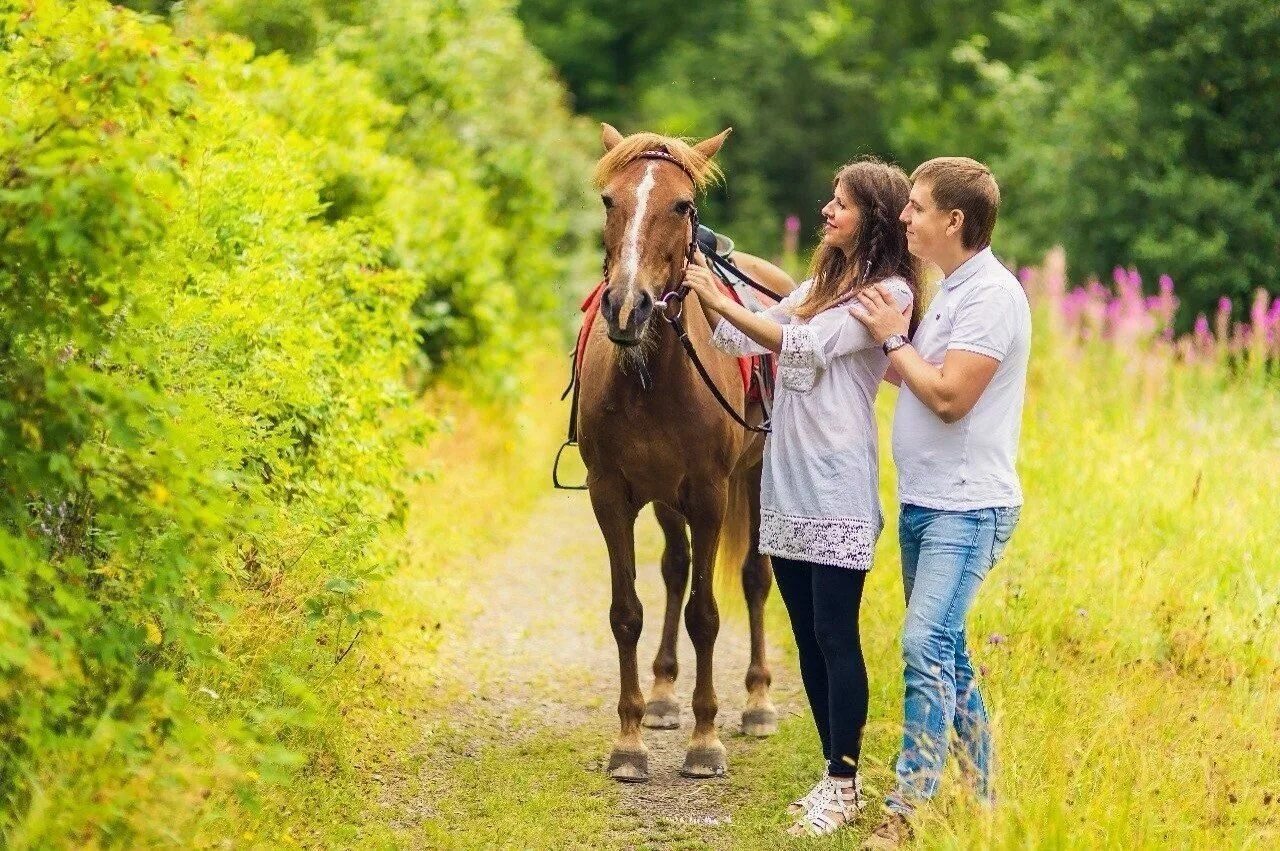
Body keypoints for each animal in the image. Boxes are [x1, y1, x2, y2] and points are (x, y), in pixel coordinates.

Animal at [581, 122, 778, 778]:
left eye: (683, 205)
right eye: (609, 200)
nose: (627, 305)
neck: (653, 375)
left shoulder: (711, 495)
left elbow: (706, 615)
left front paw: (705, 739)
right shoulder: (610, 494)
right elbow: (627, 613)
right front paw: (630, 741)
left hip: (756, 479)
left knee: (754, 577)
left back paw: (758, 701)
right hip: (667, 499)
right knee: (674, 567)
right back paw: (665, 694)